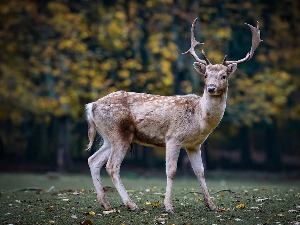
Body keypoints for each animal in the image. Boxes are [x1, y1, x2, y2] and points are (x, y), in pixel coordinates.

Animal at [85, 18, 262, 213]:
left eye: (223, 76)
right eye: (206, 75)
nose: (211, 88)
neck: (199, 119)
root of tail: (91, 106)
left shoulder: (194, 145)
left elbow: (200, 172)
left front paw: (212, 205)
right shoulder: (173, 137)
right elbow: (171, 171)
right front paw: (168, 206)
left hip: (108, 137)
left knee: (93, 160)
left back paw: (106, 204)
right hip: (119, 133)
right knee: (111, 166)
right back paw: (131, 204)